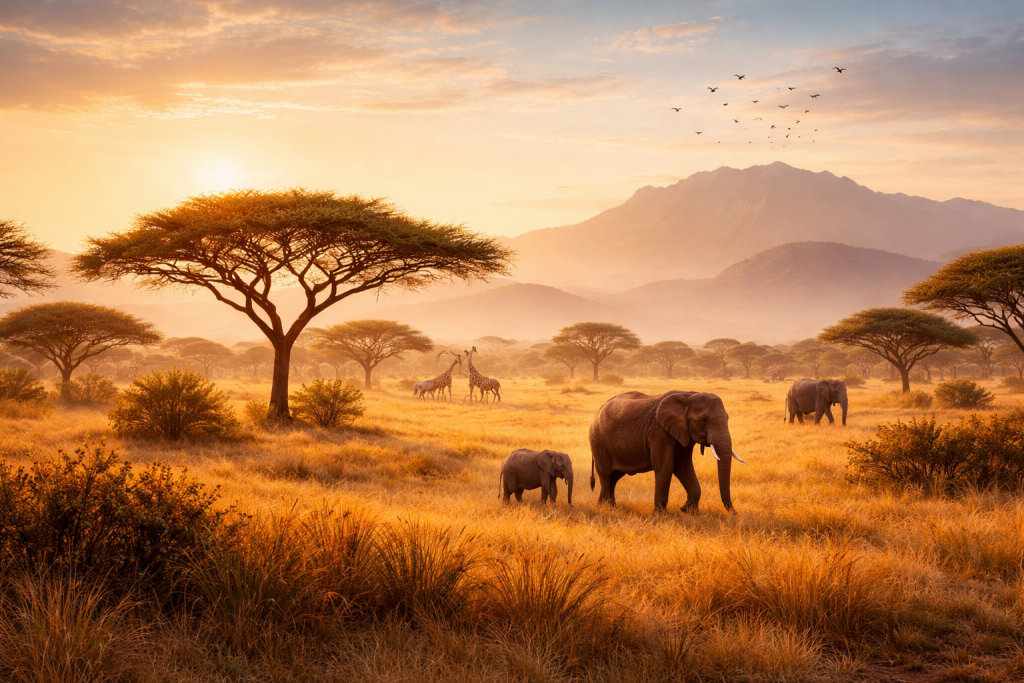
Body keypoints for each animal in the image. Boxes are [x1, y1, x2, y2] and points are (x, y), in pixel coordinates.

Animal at [588, 391, 744, 514]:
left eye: (727, 418)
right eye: (704, 419)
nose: (735, 513)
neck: (688, 395)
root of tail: (596, 412)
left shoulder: (683, 434)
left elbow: (683, 467)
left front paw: (689, 512)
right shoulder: (659, 432)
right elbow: (665, 466)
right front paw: (661, 515)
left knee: (614, 476)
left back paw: (606, 507)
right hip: (598, 440)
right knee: (606, 474)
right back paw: (608, 508)